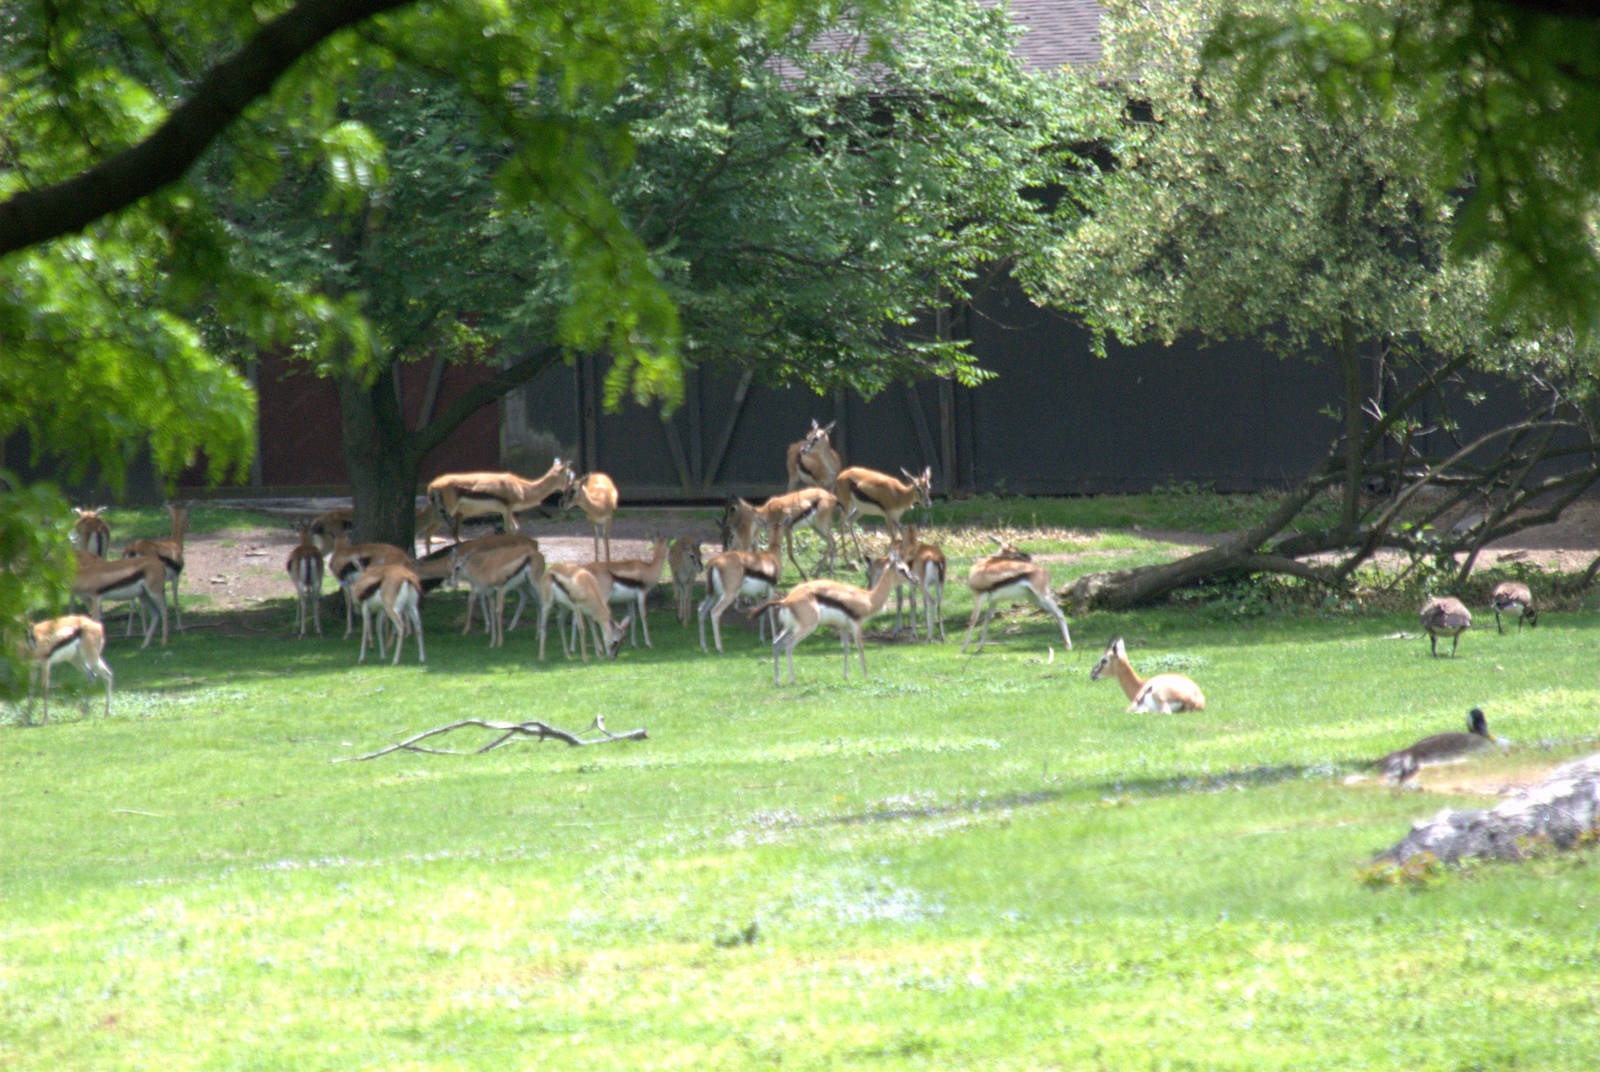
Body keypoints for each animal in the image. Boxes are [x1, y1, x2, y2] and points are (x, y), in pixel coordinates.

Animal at [122, 502, 187, 633]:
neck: (175, 545)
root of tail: (133, 548)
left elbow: (165, 601)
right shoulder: (175, 577)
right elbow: (175, 599)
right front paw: (180, 628)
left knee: (132, 601)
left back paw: (129, 632)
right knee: (140, 602)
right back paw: (145, 630)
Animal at [426, 459, 572, 539]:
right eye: (569, 475)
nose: (569, 491)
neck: (522, 488)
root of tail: (433, 485)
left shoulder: (506, 512)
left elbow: (515, 529)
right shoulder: (507, 510)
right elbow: (509, 531)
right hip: (447, 511)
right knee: (430, 532)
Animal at [753, 550, 919, 685]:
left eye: (908, 567)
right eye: (902, 569)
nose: (915, 580)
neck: (868, 598)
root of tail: (786, 600)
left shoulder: (844, 627)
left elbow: (846, 648)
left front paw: (845, 676)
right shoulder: (856, 625)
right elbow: (860, 649)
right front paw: (866, 677)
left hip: (789, 628)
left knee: (776, 644)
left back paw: (777, 681)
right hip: (805, 628)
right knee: (788, 646)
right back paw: (793, 681)